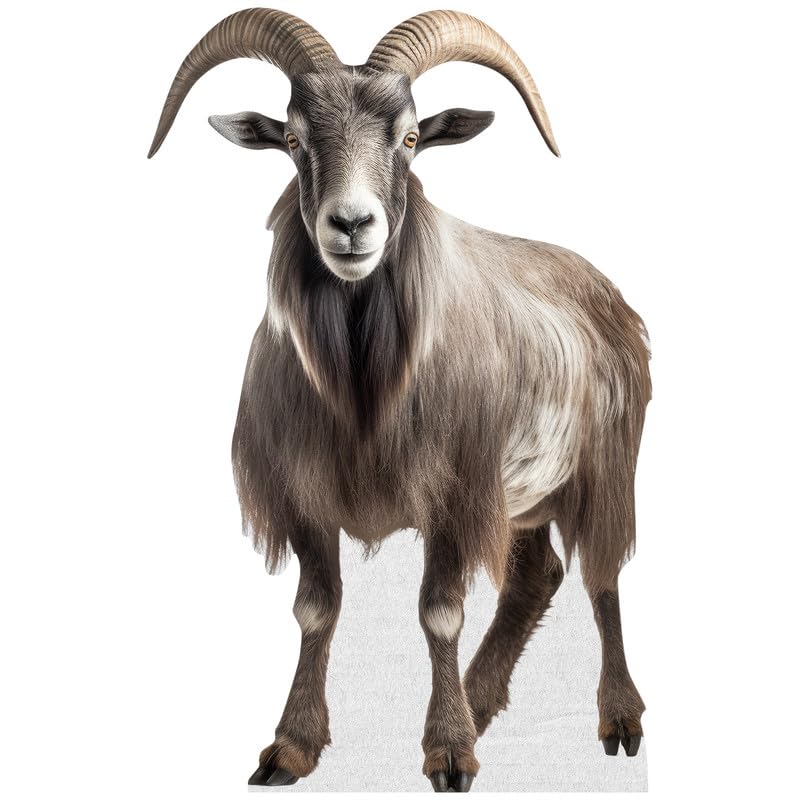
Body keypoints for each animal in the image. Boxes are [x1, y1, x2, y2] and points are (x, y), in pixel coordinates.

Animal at [149, 8, 651, 792]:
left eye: (411, 138)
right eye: (294, 139)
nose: (352, 225)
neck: (362, 394)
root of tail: (607, 294)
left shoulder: (453, 494)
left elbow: (439, 612)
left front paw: (447, 753)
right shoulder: (306, 497)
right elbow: (316, 610)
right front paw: (289, 749)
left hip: (605, 468)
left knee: (601, 573)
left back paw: (618, 720)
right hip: (523, 497)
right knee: (537, 575)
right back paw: (480, 699)